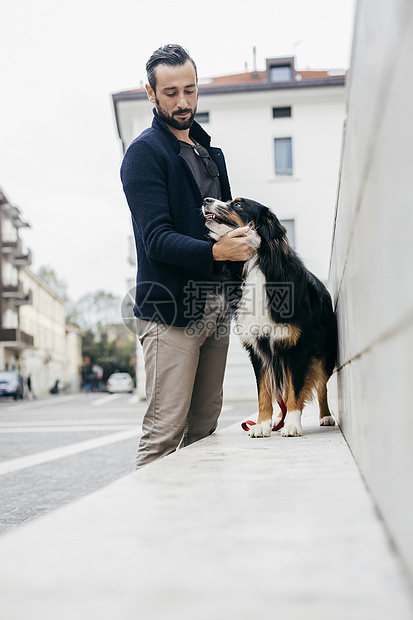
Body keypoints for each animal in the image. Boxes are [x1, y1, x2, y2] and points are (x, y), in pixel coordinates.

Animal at [201, 197, 336, 436]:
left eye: (238, 204)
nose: (206, 199)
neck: (256, 262)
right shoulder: (259, 348)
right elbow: (264, 392)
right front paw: (262, 424)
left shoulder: (298, 346)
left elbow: (295, 389)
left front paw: (292, 424)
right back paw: (277, 420)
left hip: (324, 352)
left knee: (321, 384)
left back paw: (325, 416)